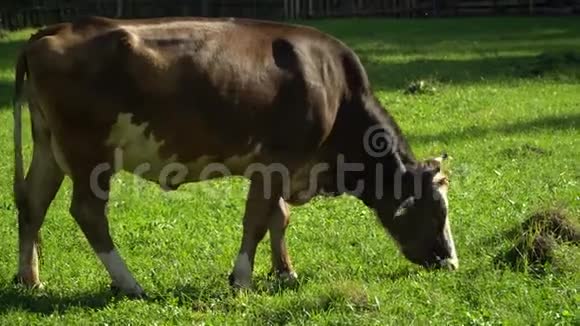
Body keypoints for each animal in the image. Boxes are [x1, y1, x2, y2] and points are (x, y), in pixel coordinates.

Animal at [12, 15, 458, 298]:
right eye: (437, 211)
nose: (451, 262)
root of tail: (51, 30)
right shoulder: (277, 161)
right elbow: (257, 220)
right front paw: (242, 278)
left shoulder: (279, 167)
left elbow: (279, 217)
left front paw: (285, 271)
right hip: (90, 154)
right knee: (87, 212)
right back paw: (129, 283)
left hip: (47, 145)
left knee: (33, 201)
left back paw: (30, 279)